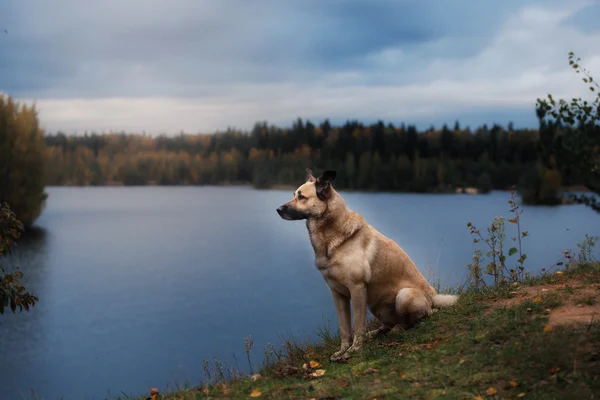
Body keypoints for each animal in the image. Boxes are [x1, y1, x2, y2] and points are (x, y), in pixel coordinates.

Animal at [278, 167, 460, 360]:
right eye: (294, 195)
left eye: (301, 197)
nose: (278, 209)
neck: (332, 238)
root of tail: (433, 298)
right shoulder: (337, 294)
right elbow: (344, 328)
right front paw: (343, 350)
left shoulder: (357, 289)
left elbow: (358, 326)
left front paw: (354, 350)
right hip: (375, 305)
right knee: (387, 324)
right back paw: (377, 333)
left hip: (403, 296)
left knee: (412, 320)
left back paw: (397, 329)